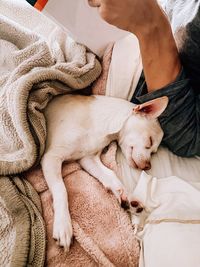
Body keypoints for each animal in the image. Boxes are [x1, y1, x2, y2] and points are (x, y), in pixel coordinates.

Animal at [41, 94, 168, 251]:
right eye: (149, 142)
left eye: (153, 152)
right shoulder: (51, 157)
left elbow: (111, 176)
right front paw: (63, 224)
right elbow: (61, 189)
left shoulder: (88, 159)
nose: (148, 166)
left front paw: (128, 199)